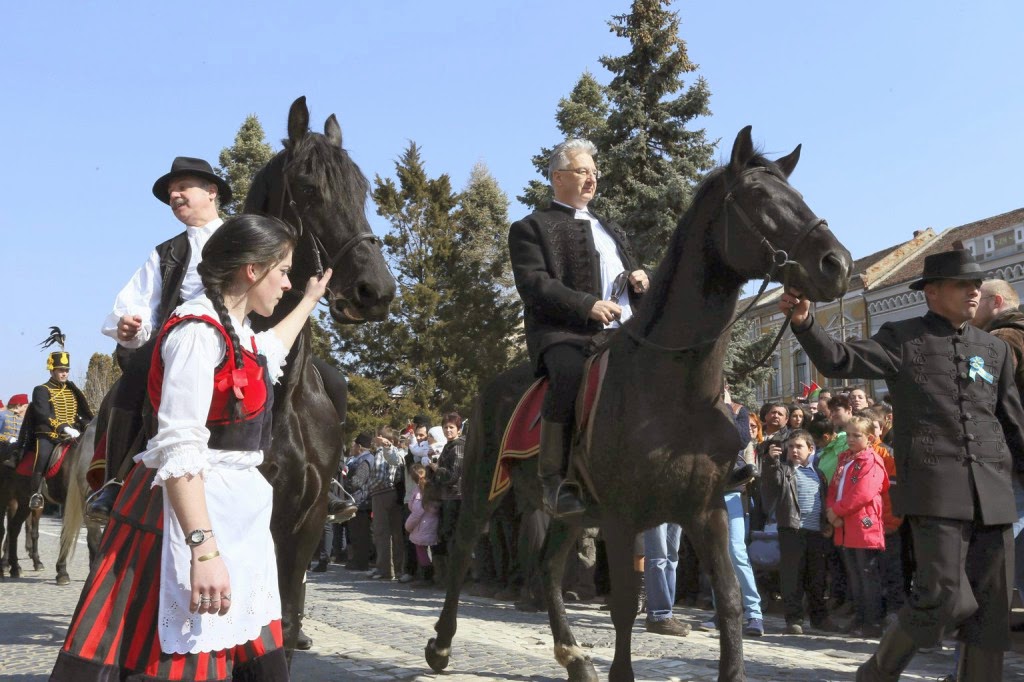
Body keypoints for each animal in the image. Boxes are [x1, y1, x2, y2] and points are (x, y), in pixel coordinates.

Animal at [421, 124, 847, 675]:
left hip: (567, 514)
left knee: (547, 570)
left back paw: (573, 655)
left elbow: (731, 605)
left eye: (796, 194)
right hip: (480, 488)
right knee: (462, 553)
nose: (837, 265)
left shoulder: (706, 512)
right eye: (759, 196)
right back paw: (442, 644)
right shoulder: (622, 518)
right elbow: (625, 606)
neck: (674, 389)